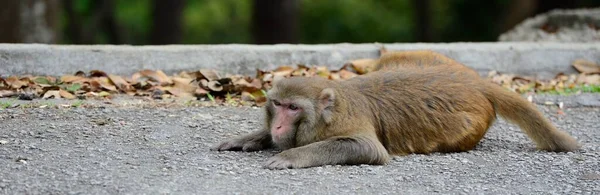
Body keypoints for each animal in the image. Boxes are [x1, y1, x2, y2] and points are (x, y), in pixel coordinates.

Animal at [212, 51, 580, 169]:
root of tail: (475, 81)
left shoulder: (348, 125)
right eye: (277, 105)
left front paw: (291, 156)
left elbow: (367, 148)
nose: (277, 126)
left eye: (293, 108)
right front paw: (253, 137)